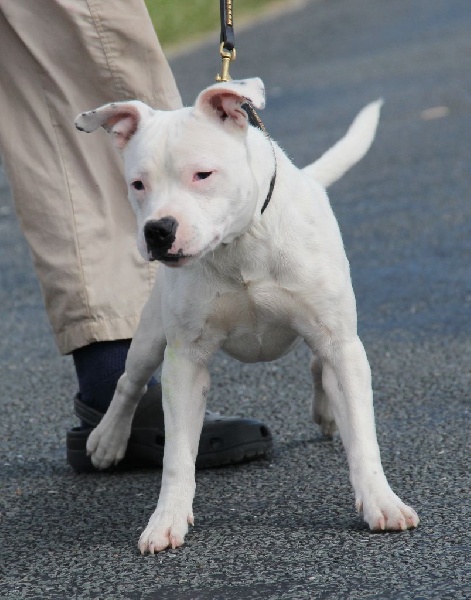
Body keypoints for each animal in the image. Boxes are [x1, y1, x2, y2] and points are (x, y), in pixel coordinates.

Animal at [76, 78, 420, 552]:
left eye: (203, 174)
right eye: (138, 184)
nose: (158, 230)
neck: (239, 245)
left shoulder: (340, 342)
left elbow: (364, 438)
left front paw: (380, 502)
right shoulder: (185, 362)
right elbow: (177, 456)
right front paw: (166, 519)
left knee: (319, 365)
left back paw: (330, 411)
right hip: (150, 336)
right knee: (129, 383)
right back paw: (108, 438)